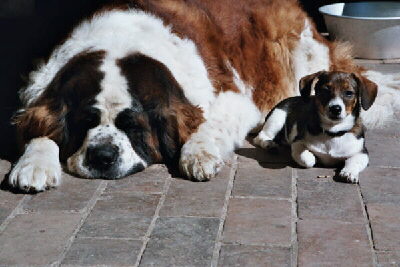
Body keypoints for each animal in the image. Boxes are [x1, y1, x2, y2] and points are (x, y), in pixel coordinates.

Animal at [6, 0, 400, 193]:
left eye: (132, 126)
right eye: (86, 122)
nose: (103, 156)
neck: (122, 41)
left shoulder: (234, 98)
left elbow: (209, 123)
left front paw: (198, 153)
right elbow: (40, 130)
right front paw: (33, 164)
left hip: (302, 57)